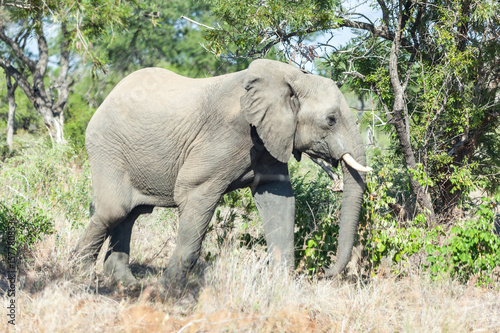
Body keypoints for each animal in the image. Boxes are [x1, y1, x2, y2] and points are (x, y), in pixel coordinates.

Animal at [75, 58, 372, 286]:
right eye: (331, 120)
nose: (324, 272)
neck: (291, 77)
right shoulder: (228, 134)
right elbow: (192, 193)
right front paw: (165, 290)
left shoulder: (268, 141)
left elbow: (279, 201)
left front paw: (282, 288)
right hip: (107, 146)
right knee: (113, 210)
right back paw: (77, 272)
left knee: (130, 213)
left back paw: (125, 282)